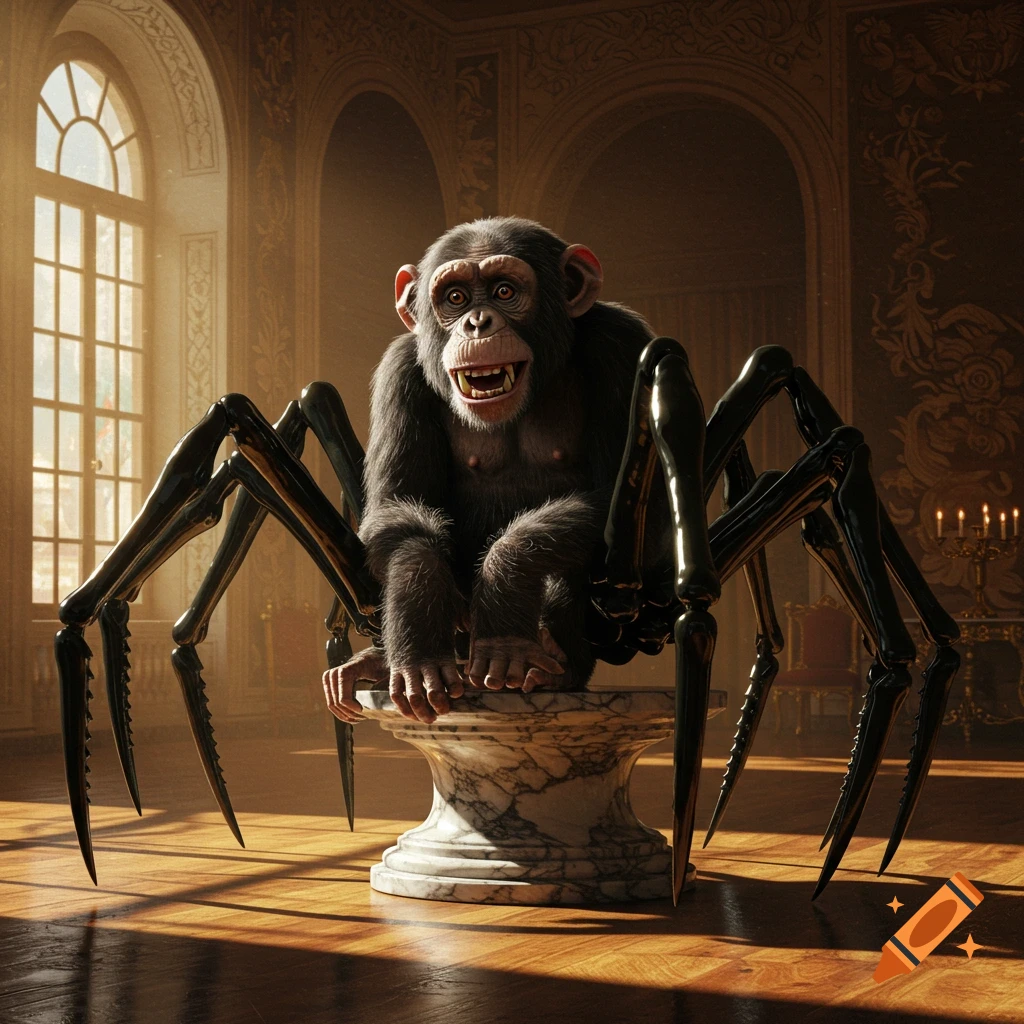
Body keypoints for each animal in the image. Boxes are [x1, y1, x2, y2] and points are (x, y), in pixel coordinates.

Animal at [322, 217, 656, 725]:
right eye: (456, 297)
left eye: (504, 291)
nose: (478, 322)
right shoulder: (400, 371)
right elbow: (400, 511)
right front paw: (420, 648)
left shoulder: (623, 347)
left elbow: (627, 505)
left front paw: (505, 607)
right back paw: (374, 664)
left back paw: (550, 662)